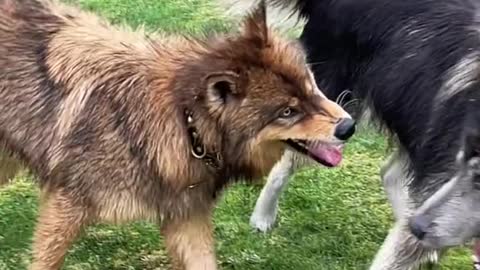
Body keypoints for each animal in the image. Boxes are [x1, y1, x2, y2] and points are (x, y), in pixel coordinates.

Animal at [0, 0, 352, 268]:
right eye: (288, 112)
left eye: (311, 85)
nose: (349, 126)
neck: (185, 122)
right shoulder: (66, 207)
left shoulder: (186, 219)